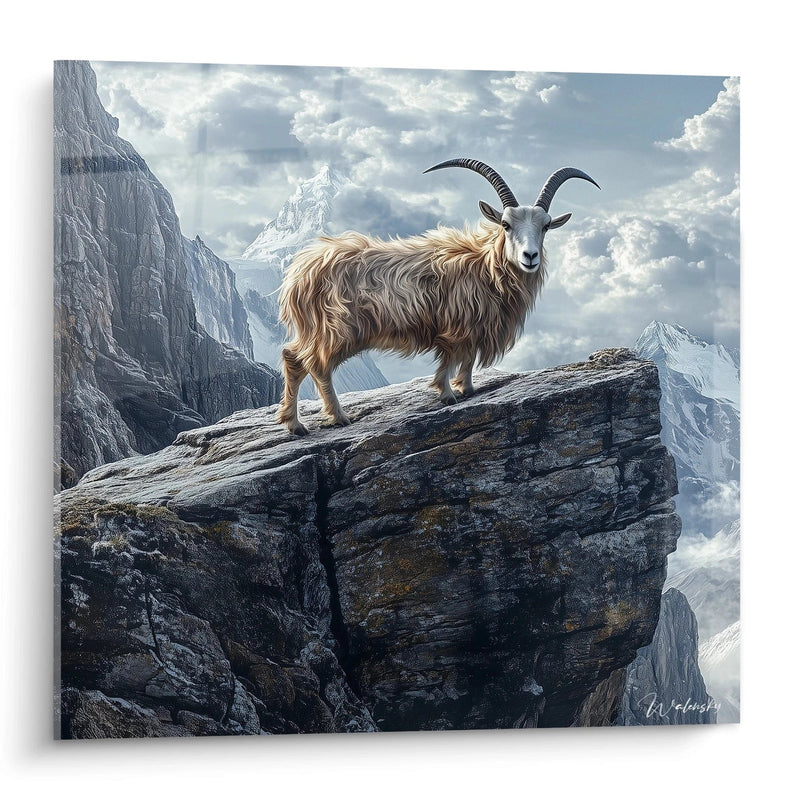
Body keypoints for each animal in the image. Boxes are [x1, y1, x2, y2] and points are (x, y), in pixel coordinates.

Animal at [276, 158, 599, 435]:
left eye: (545, 226)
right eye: (506, 225)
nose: (530, 256)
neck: (483, 265)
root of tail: (298, 276)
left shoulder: (473, 326)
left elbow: (467, 359)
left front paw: (467, 389)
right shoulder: (454, 326)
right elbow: (450, 359)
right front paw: (447, 395)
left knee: (294, 358)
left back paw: (295, 424)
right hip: (335, 327)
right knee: (313, 364)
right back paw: (334, 417)